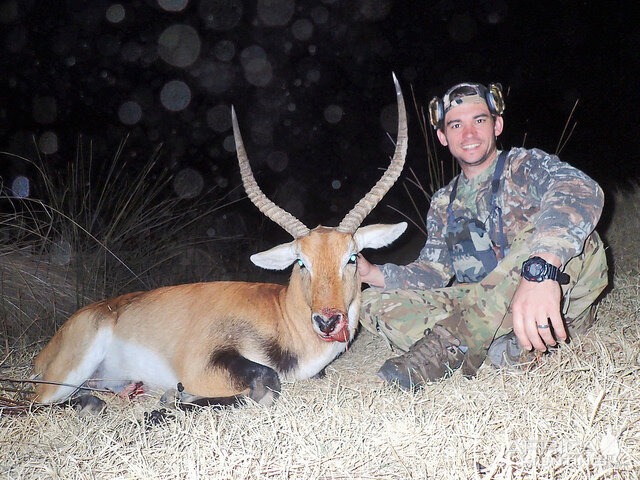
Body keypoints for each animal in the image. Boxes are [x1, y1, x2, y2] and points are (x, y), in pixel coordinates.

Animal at [30, 74, 408, 408]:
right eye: (302, 261)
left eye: (352, 257)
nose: (328, 321)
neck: (283, 317)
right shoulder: (203, 362)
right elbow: (266, 382)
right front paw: (175, 401)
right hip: (66, 374)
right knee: (35, 403)